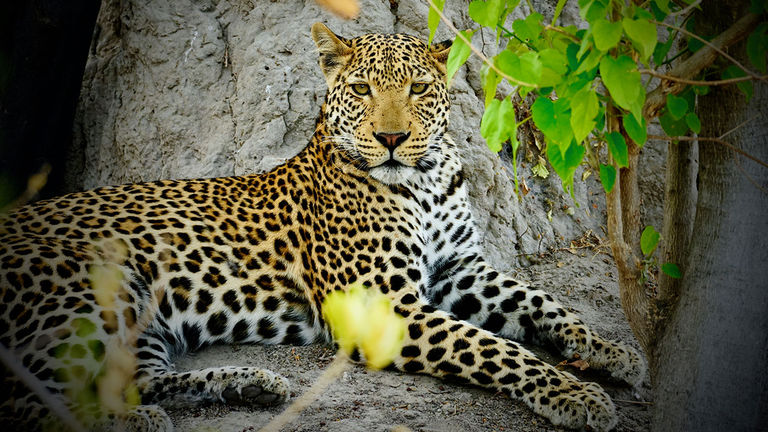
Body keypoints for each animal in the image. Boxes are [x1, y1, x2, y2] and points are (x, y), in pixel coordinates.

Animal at [0, 24, 644, 432]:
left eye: (418, 88)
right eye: (361, 89)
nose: (391, 138)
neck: (428, 181)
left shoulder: (460, 267)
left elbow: (545, 303)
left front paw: (612, 350)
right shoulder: (387, 307)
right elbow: (495, 347)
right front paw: (574, 393)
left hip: (140, 323)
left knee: (137, 380)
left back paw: (247, 384)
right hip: (89, 296)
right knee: (24, 401)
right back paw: (134, 421)